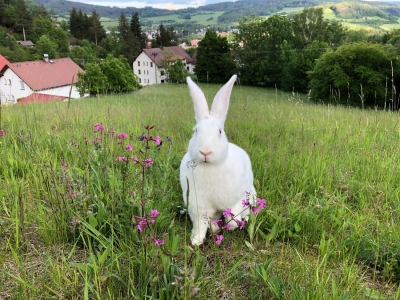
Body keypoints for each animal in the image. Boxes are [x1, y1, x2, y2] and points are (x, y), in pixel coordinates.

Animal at [179, 74, 256, 245]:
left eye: (220, 131)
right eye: (196, 130)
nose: (205, 151)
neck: (210, 166)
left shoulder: (236, 200)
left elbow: (232, 217)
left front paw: (232, 226)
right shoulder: (198, 207)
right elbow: (200, 225)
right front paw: (196, 241)